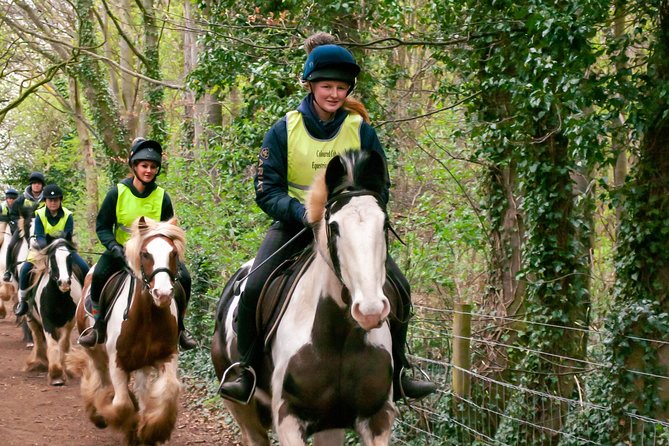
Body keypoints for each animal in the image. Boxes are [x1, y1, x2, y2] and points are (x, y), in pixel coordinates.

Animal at [24, 239, 83, 386]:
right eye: (52, 258)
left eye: (70, 256)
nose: (64, 283)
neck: (59, 297)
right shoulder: (47, 321)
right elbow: (52, 344)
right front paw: (56, 375)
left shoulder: (69, 321)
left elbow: (63, 344)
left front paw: (64, 369)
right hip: (30, 318)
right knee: (37, 337)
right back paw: (39, 362)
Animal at [69, 214, 184, 444]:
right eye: (145, 254)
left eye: (173, 253)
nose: (163, 294)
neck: (147, 316)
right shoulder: (118, 362)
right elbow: (122, 404)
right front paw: (129, 427)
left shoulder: (167, 356)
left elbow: (169, 390)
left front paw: (152, 431)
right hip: (96, 351)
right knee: (102, 379)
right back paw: (99, 414)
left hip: (142, 363)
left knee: (141, 389)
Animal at [211, 151, 394, 446]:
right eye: (334, 227)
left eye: (385, 224)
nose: (370, 311)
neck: (337, 337)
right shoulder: (288, 419)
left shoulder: (376, 418)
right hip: (242, 409)